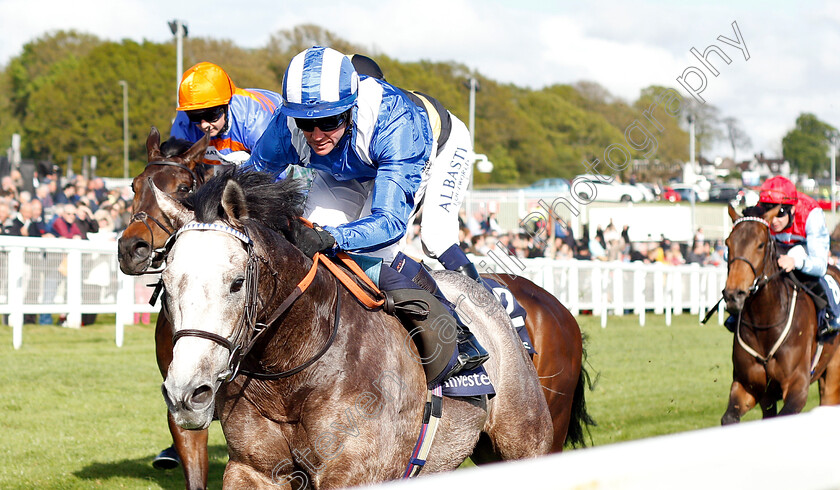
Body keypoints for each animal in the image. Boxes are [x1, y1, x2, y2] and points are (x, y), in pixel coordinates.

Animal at [116, 127, 592, 490]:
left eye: (235, 283)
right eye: (169, 287)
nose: (186, 392)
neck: (292, 368)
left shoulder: (357, 471)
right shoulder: (253, 469)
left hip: (528, 444)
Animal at [720, 205, 840, 424]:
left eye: (760, 245)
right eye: (728, 243)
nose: (734, 295)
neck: (765, 321)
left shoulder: (797, 386)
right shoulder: (748, 386)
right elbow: (730, 418)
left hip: (833, 373)